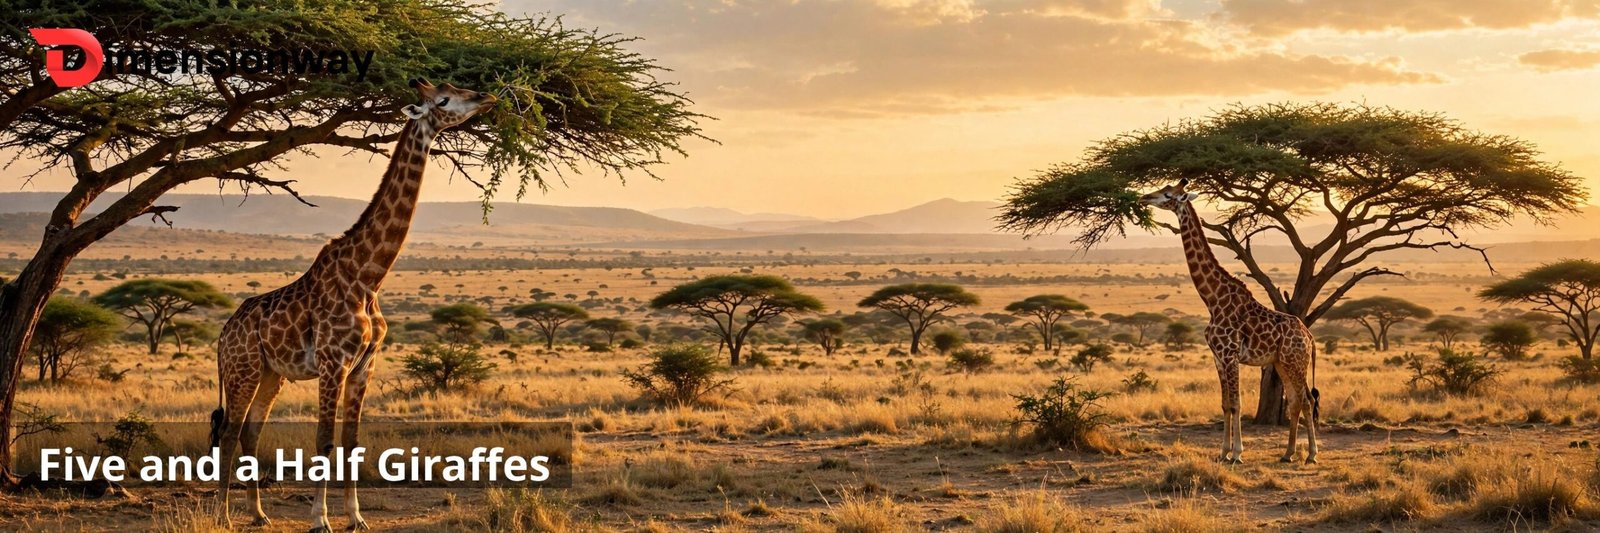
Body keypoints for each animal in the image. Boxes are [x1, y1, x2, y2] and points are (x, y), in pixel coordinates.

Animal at [210, 78, 496, 532]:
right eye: (445, 99)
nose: (488, 97)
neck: (368, 277)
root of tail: (222, 335)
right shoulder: (333, 363)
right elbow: (324, 440)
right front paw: (319, 519)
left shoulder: (365, 365)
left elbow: (351, 441)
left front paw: (356, 516)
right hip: (243, 369)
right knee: (228, 431)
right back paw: (221, 513)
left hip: (272, 374)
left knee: (250, 432)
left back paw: (258, 513)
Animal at [1139, 179, 1319, 465]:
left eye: (1168, 194)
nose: (1144, 197)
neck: (1212, 298)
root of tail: (1309, 335)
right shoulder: (1217, 356)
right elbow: (1225, 404)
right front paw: (1222, 451)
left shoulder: (1230, 354)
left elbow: (1236, 403)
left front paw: (1237, 453)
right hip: (1282, 362)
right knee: (1294, 401)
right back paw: (1288, 453)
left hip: (1295, 361)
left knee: (1307, 401)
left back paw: (1311, 455)